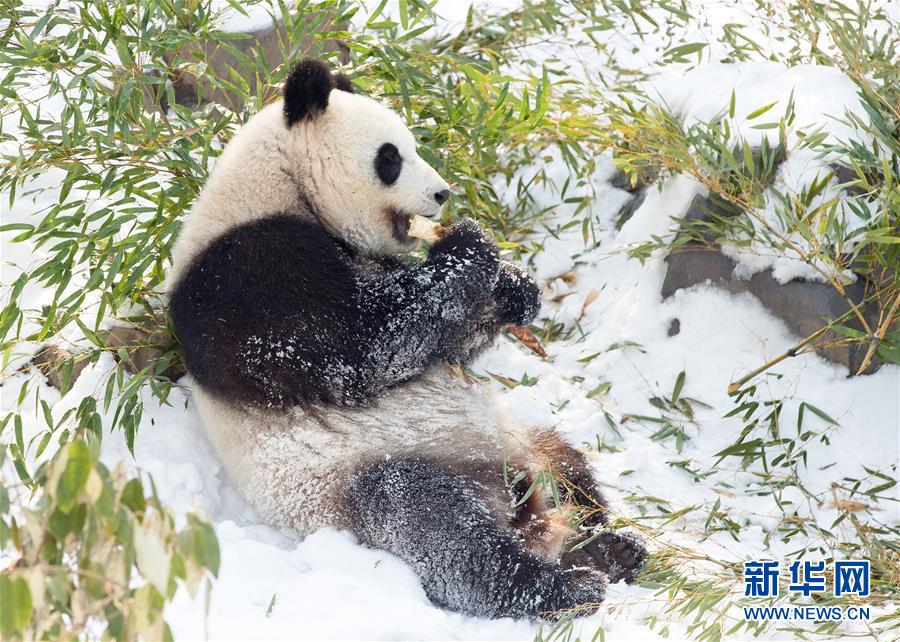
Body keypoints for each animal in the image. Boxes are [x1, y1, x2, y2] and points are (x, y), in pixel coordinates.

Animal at [167, 57, 648, 616]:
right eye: (391, 157)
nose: (442, 194)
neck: (279, 184)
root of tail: (524, 509)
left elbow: (438, 344)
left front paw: (514, 289)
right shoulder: (246, 275)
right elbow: (361, 347)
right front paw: (471, 244)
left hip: (518, 437)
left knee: (570, 466)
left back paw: (609, 547)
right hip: (366, 477)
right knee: (434, 523)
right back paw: (556, 588)